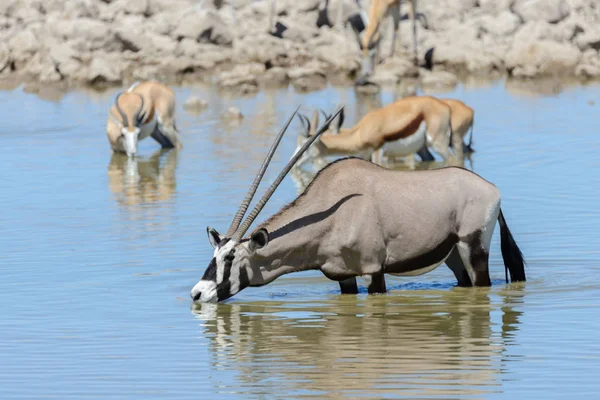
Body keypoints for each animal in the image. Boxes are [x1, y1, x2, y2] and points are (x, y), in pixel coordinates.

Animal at [191, 107, 524, 304]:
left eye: (231, 257)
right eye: (215, 254)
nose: (197, 293)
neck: (330, 211)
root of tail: (491, 189)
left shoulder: (373, 271)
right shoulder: (343, 276)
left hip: (474, 248)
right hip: (454, 256)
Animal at [296, 96, 454, 166]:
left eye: (305, 146)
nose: (295, 163)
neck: (359, 132)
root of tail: (445, 106)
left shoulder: (378, 151)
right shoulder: (365, 155)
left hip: (438, 144)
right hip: (422, 148)